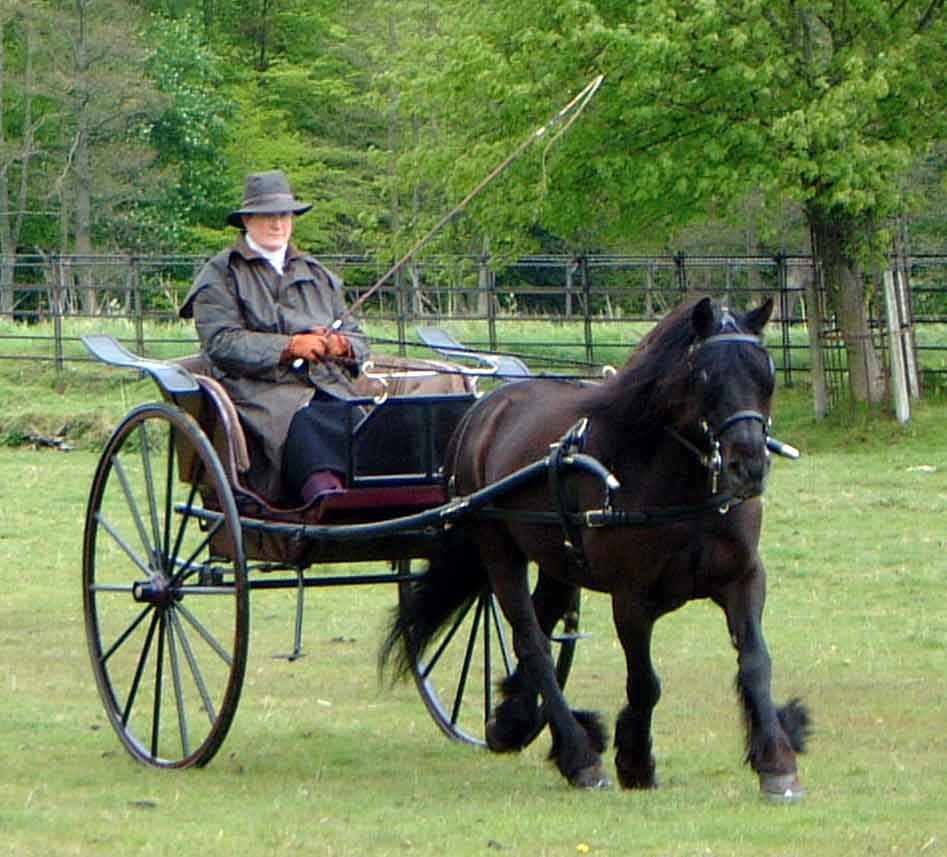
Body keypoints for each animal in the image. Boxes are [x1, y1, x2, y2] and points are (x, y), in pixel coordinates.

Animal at [382, 300, 812, 796]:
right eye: (705, 376)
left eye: (766, 372)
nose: (750, 466)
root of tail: (485, 408)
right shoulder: (632, 600)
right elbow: (645, 683)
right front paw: (635, 759)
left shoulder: (743, 579)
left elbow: (756, 663)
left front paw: (777, 760)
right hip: (498, 550)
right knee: (532, 641)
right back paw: (578, 756)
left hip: (557, 560)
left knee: (541, 622)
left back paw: (512, 721)